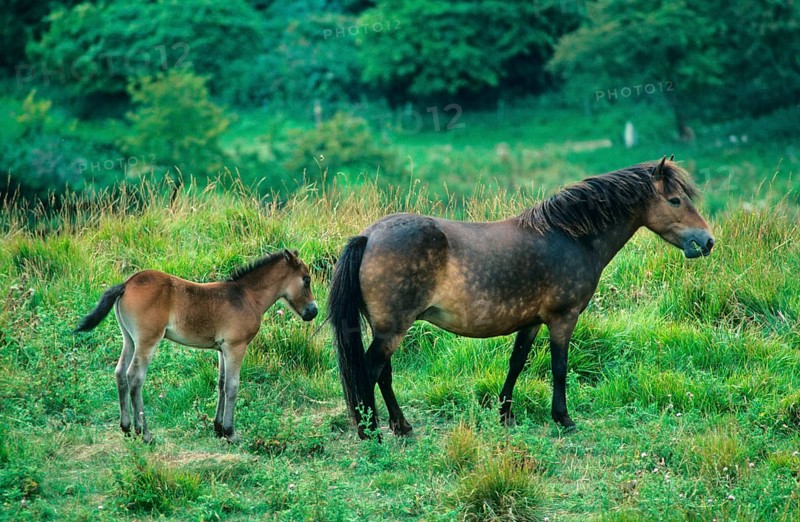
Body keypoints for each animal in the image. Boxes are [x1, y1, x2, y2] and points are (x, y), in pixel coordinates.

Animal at [74, 249, 318, 443]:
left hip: (129, 339)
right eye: (306, 280)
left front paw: (217, 427)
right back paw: (144, 432)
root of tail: (126, 284)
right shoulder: (236, 347)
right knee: (134, 377)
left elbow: (221, 384)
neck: (246, 296)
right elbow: (232, 387)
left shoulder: (222, 350)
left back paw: (126, 428)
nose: (313, 311)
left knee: (119, 373)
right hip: (147, 341)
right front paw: (230, 432)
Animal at [328, 158, 714, 439]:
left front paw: (506, 413)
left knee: (383, 374)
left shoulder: (530, 322)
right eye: (675, 200)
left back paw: (401, 426)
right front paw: (563, 418)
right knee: (370, 371)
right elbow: (559, 367)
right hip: (392, 330)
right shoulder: (563, 318)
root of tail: (368, 236)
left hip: (387, 329)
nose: (707, 241)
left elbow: (517, 363)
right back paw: (371, 433)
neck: (569, 236)